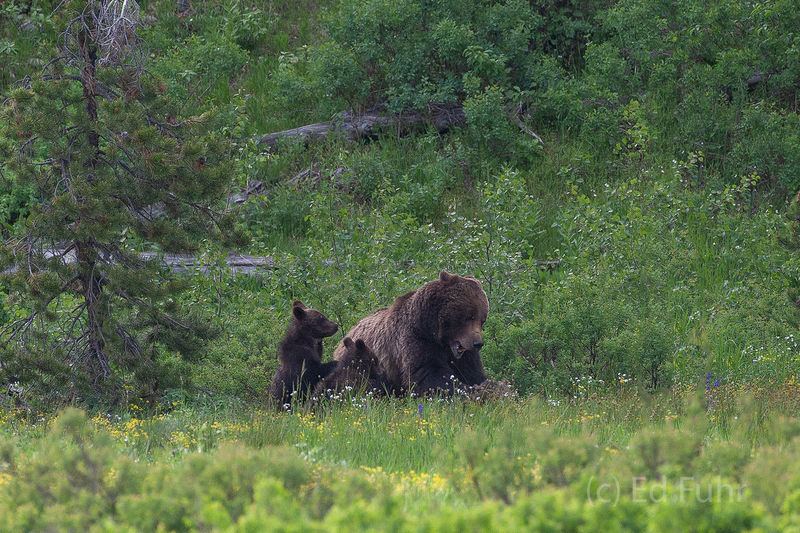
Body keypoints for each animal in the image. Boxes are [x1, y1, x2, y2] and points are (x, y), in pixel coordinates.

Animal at [332, 271, 489, 395]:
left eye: (482, 320)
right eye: (469, 317)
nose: (478, 343)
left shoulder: (463, 355)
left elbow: (472, 372)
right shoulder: (414, 339)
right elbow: (428, 374)